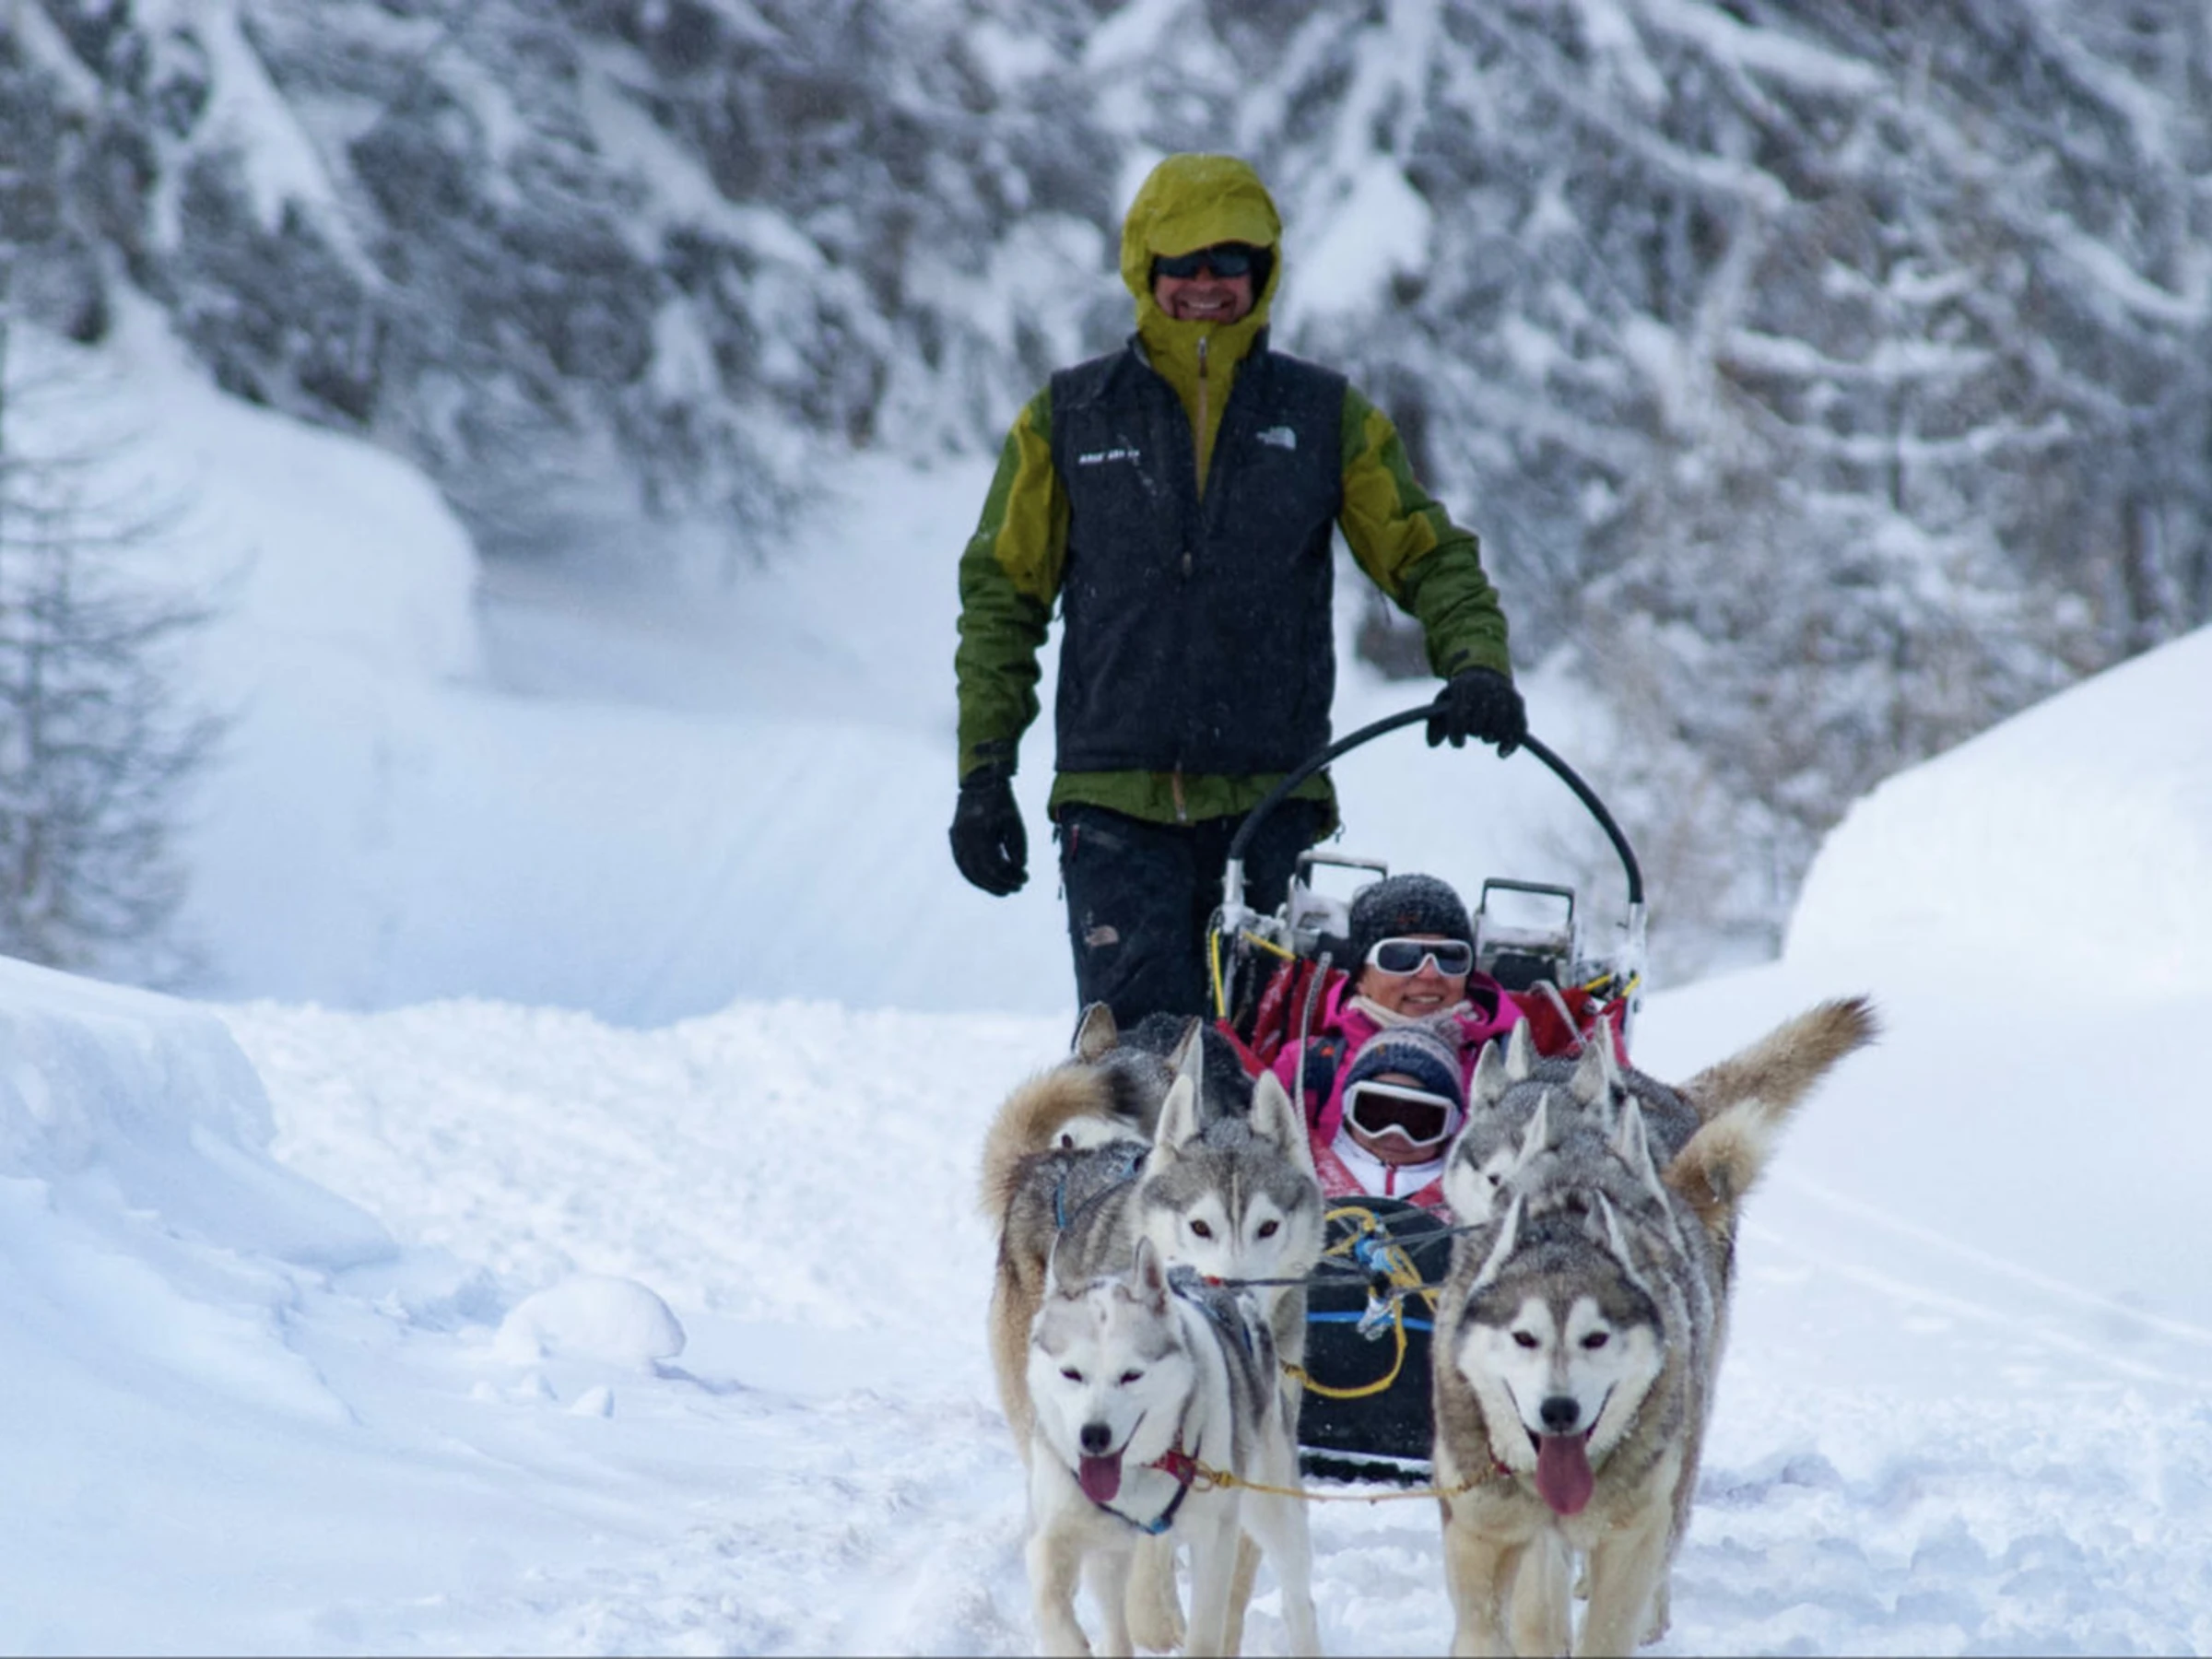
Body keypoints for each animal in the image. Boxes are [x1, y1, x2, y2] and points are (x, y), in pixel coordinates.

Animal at [1025, 1235, 1321, 1658]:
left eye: (1131, 1375)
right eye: (1071, 1373)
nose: (1093, 1435)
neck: (1143, 1469)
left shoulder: (1215, 1538)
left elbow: (1204, 1635)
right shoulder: (1060, 1529)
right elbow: (1050, 1600)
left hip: (1273, 1510)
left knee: (1298, 1602)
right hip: (1110, 1550)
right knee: (1116, 1625)